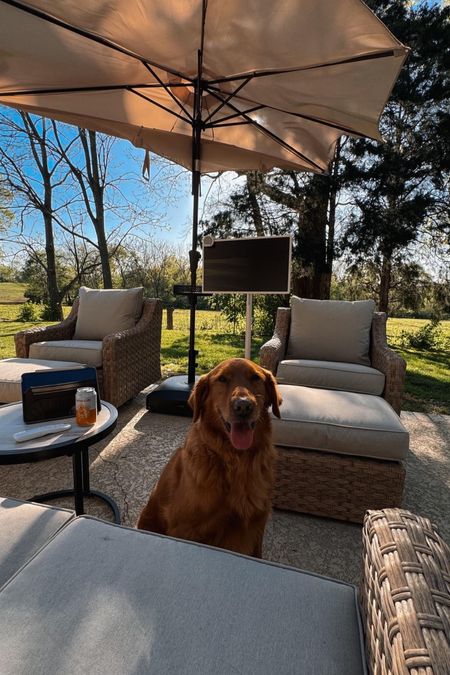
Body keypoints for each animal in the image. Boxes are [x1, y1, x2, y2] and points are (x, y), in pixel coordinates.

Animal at [136, 360, 282, 560]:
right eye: (222, 379)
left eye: (255, 377)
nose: (243, 406)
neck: (237, 461)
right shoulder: (184, 528)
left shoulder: (256, 526)